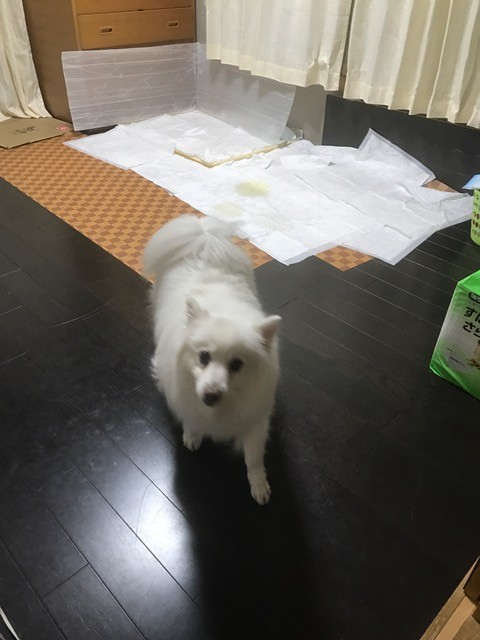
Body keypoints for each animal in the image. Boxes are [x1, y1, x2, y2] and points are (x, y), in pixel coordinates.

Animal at [143, 215, 281, 505]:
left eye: (237, 365)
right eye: (204, 356)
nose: (210, 394)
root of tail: (203, 242)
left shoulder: (255, 416)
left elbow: (254, 457)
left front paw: (259, 485)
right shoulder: (188, 400)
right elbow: (191, 420)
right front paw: (192, 435)